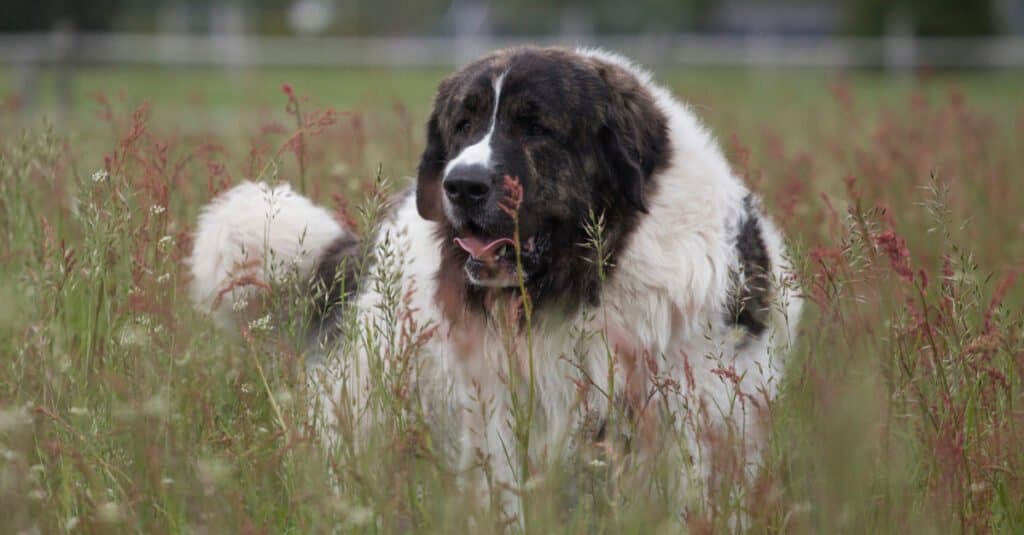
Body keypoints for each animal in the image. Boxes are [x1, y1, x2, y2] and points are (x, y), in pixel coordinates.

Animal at [190, 47, 798, 518]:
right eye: (463, 124)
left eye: (536, 127)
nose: (462, 185)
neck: (586, 285)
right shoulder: (500, 420)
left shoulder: (697, 418)